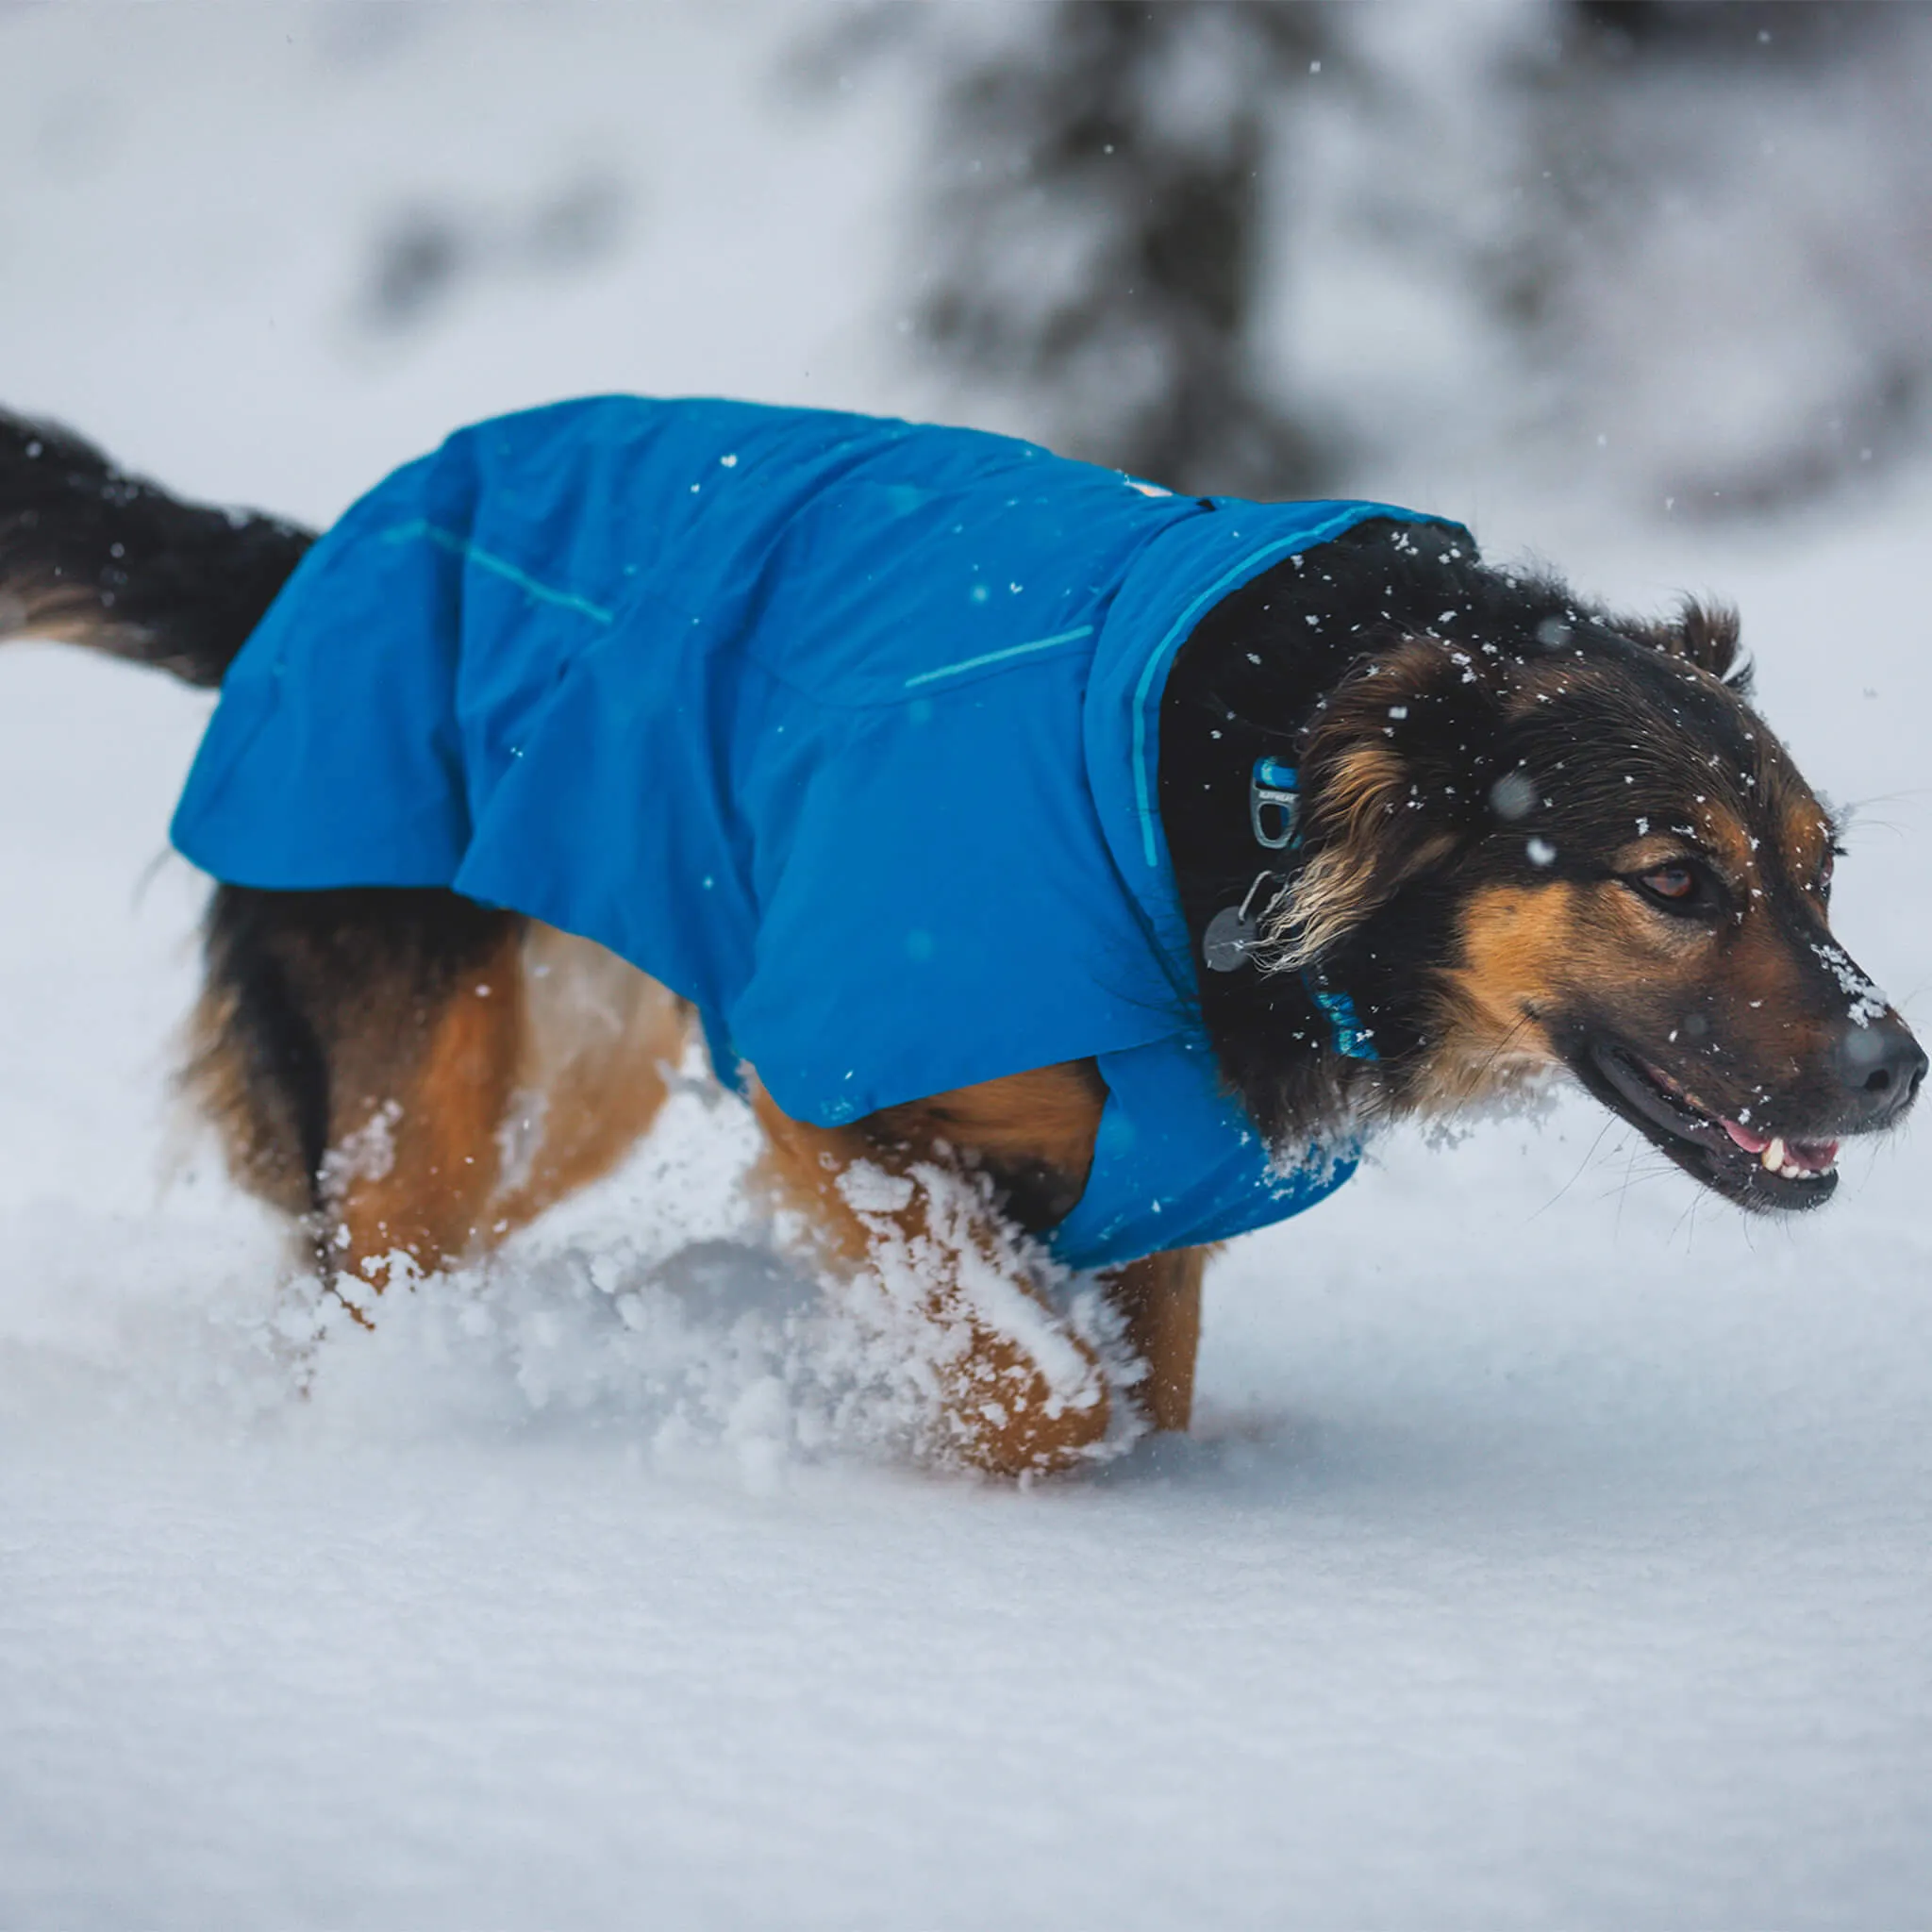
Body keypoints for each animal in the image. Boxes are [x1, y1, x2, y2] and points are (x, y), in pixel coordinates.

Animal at [0, 395, 1916, 1475]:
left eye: (1822, 873)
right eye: (1673, 880)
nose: (1896, 1067)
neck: (1235, 815)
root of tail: (310, 557)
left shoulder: (1156, 1194)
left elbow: (1146, 1390)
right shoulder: (838, 1091)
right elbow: (1046, 1391)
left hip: (575, 1078)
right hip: (435, 1083)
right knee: (372, 1265)